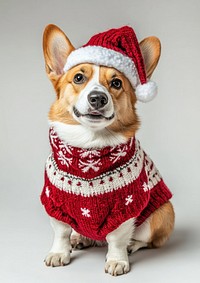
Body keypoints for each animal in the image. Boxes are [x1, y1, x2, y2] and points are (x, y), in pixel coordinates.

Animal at [41, 25, 175, 278]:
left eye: (116, 83)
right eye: (78, 78)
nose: (98, 98)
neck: (89, 146)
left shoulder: (126, 205)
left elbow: (117, 238)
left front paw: (117, 260)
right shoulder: (55, 202)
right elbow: (61, 231)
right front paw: (59, 253)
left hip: (161, 214)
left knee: (147, 240)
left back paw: (132, 245)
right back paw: (80, 237)